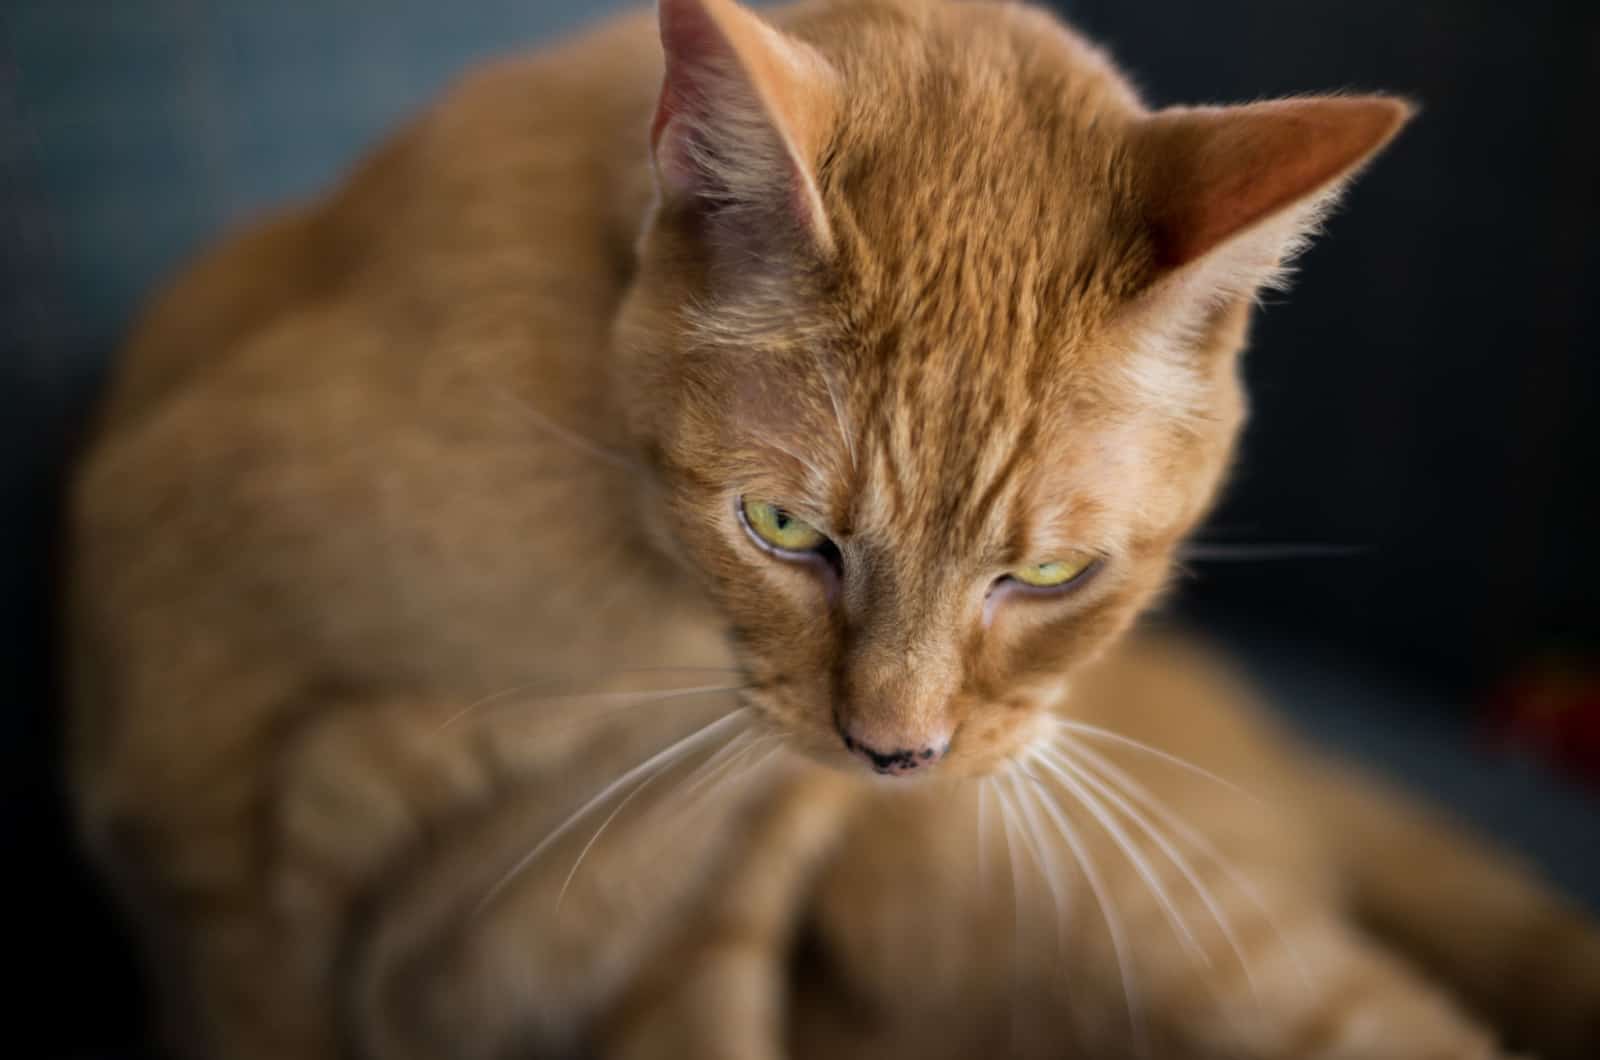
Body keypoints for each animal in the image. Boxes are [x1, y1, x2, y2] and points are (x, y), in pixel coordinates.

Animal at [65, 2, 1600, 1060]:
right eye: (783, 527)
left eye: (1051, 574)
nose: (896, 754)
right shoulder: (211, 803)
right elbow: (257, 993)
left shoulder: (696, 913)